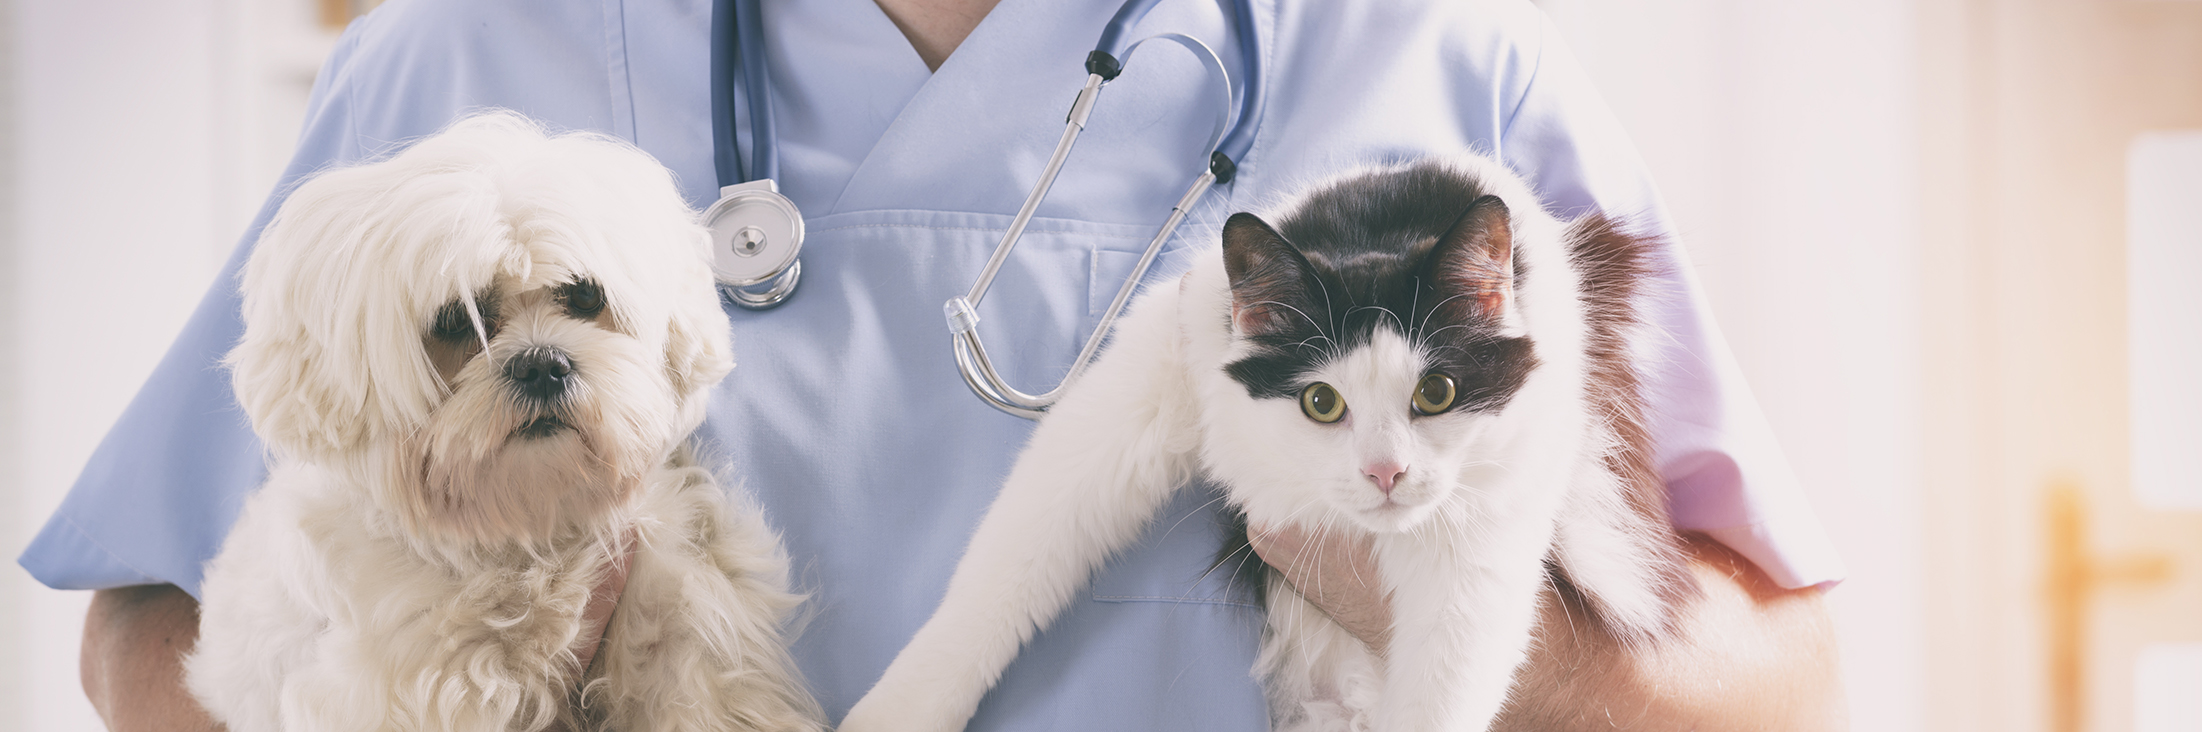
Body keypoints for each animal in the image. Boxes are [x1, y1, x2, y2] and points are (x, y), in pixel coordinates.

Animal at [832, 155, 1691, 732]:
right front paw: (895, 712)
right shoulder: (1152, 381)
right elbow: (1003, 574)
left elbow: (1443, 688)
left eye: (1436, 394)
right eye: (1320, 402)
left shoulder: (1478, 547)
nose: (1385, 472)